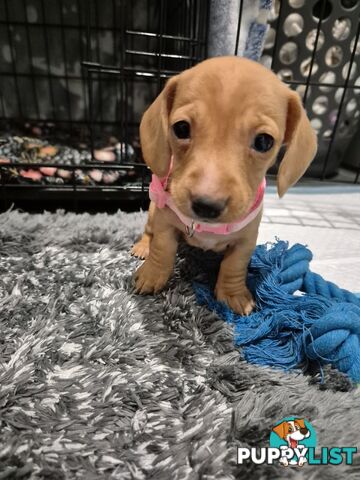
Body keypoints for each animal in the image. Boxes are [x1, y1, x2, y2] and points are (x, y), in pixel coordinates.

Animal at [131, 56, 316, 316]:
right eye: (181, 128)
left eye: (264, 141)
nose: (206, 205)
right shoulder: (165, 223)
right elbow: (162, 249)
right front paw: (152, 274)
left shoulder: (246, 240)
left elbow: (234, 266)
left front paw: (232, 295)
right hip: (153, 211)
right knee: (149, 232)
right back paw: (142, 246)